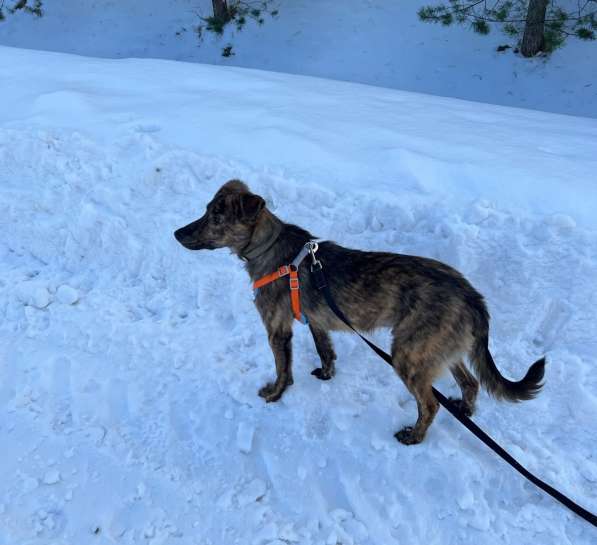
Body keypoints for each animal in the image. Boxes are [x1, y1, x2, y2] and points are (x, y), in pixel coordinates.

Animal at [173, 181, 544, 444]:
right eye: (207, 211)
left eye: (216, 217)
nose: (176, 233)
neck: (268, 247)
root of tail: (473, 297)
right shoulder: (317, 321)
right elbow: (325, 350)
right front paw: (327, 374)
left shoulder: (277, 329)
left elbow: (283, 369)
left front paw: (275, 394)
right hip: (440, 349)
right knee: (471, 383)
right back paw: (465, 410)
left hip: (409, 354)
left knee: (430, 404)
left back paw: (414, 436)